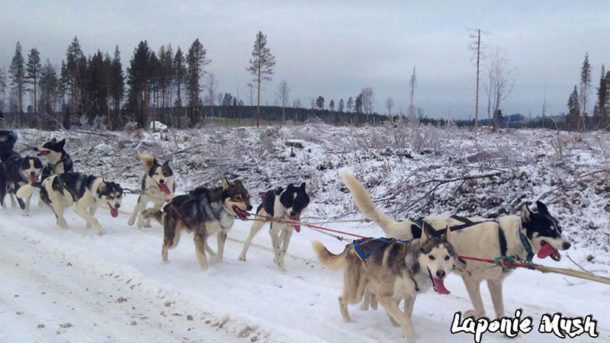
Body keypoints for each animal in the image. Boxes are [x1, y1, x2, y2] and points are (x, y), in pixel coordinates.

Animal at [316, 230, 454, 342]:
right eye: (431, 256)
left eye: (447, 257)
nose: (441, 273)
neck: (409, 266)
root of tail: (351, 245)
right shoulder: (383, 296)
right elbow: (406, 320)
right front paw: (410, 337)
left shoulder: (409, 296)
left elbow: (406, 316)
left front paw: (402, 331)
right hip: (356, 294)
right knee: (342, 299)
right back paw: (348, 322)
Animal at [342, 173, 568, 322]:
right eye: (549, 229)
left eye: (559, 228)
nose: (568, 244)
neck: (505, 237)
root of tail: (396, 225)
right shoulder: (471, 279)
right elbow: (481, 310)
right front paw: (470, 313)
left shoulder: (494, 283)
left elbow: (499, 310)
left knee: (372, 292)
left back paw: (368, 307)